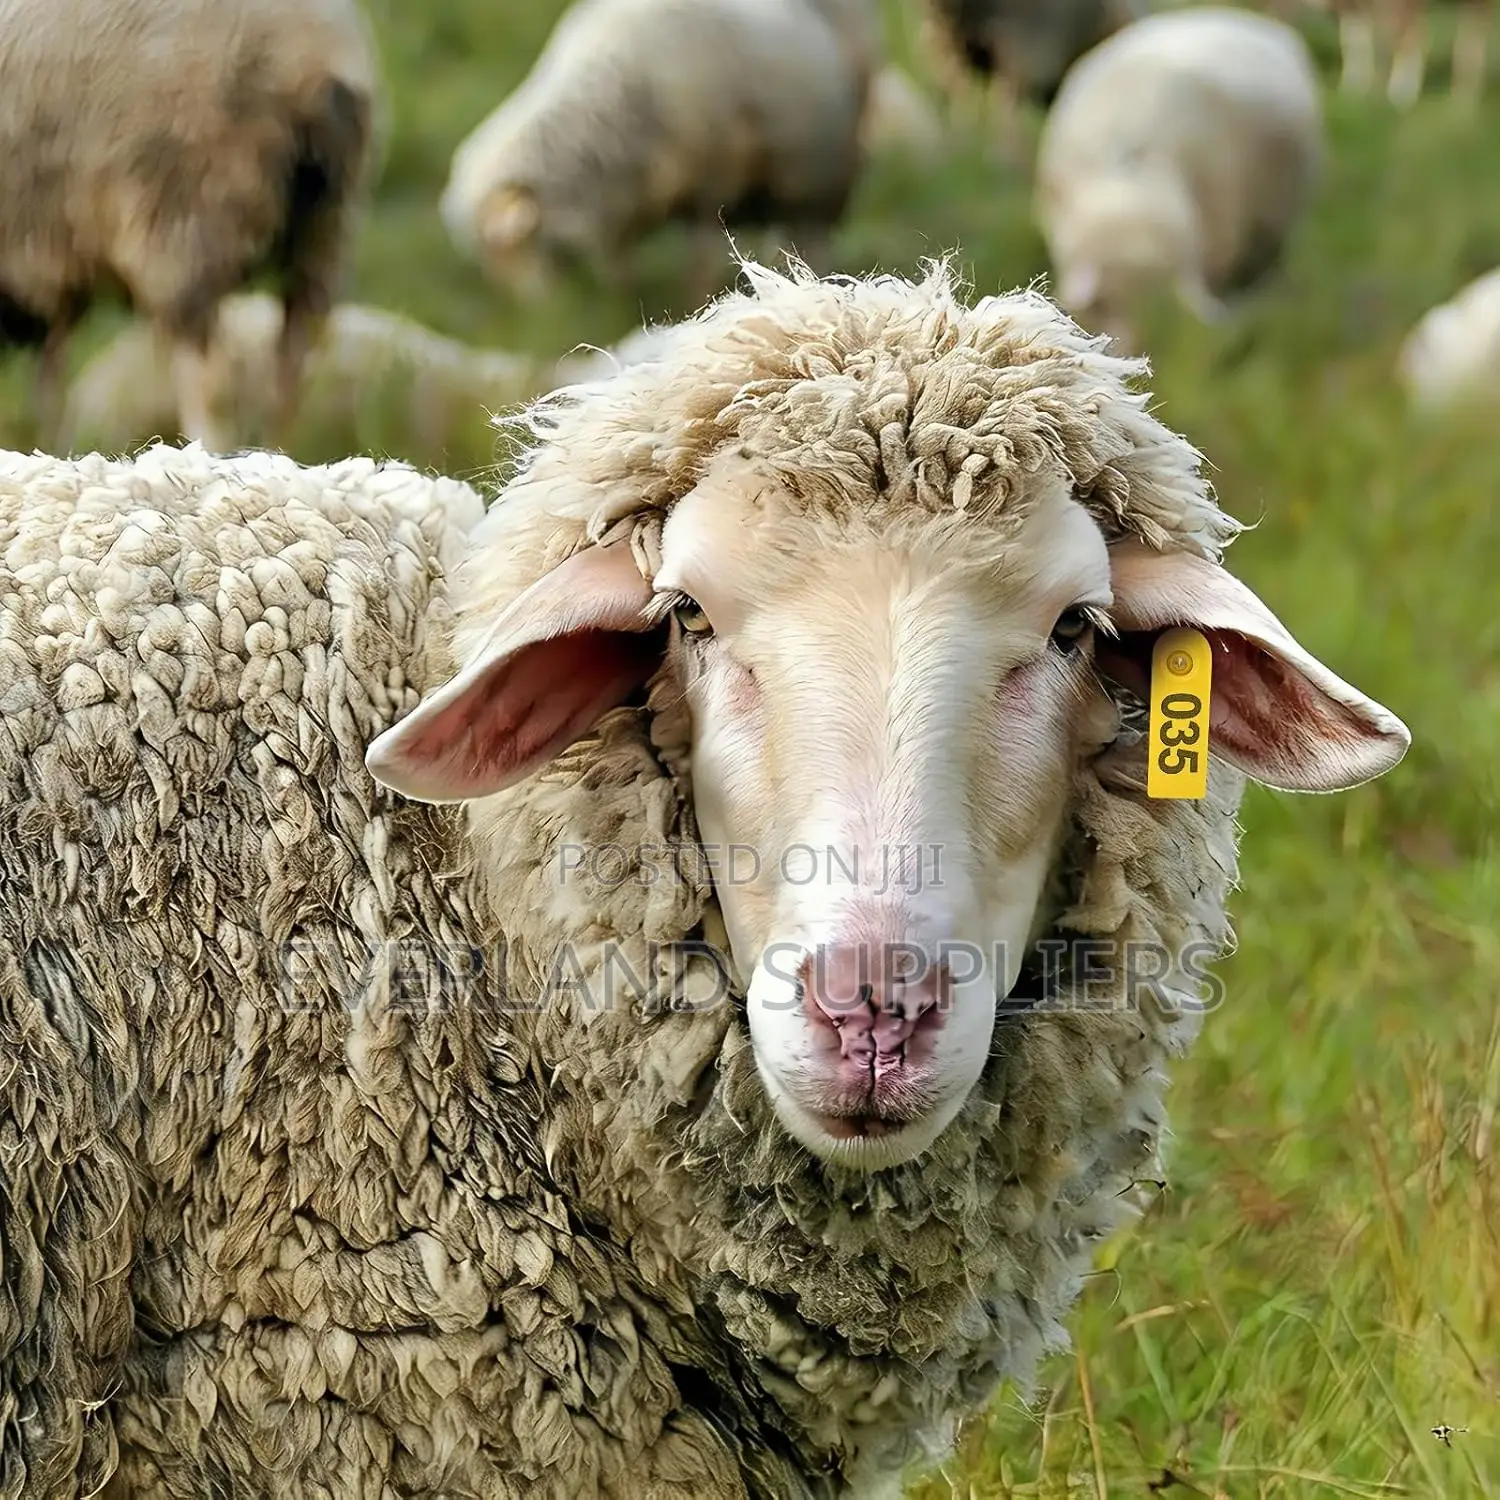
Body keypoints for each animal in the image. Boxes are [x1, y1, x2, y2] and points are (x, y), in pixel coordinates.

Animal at [0, 0, 381, 455]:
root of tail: (311, 54)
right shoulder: (51, 271)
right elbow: (49, 387)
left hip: (184, 220)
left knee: (214, 380)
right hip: (326, 230)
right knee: (292, 368)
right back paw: (278, 454)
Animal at [437, 0, 880, 304]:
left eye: (508, 246)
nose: (538, 310)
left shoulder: (713, 179)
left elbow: (700, 259)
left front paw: (697, 303)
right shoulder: (624, 199)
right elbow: (620, 258)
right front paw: (622, 299)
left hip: (825, 162)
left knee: (812, 229)